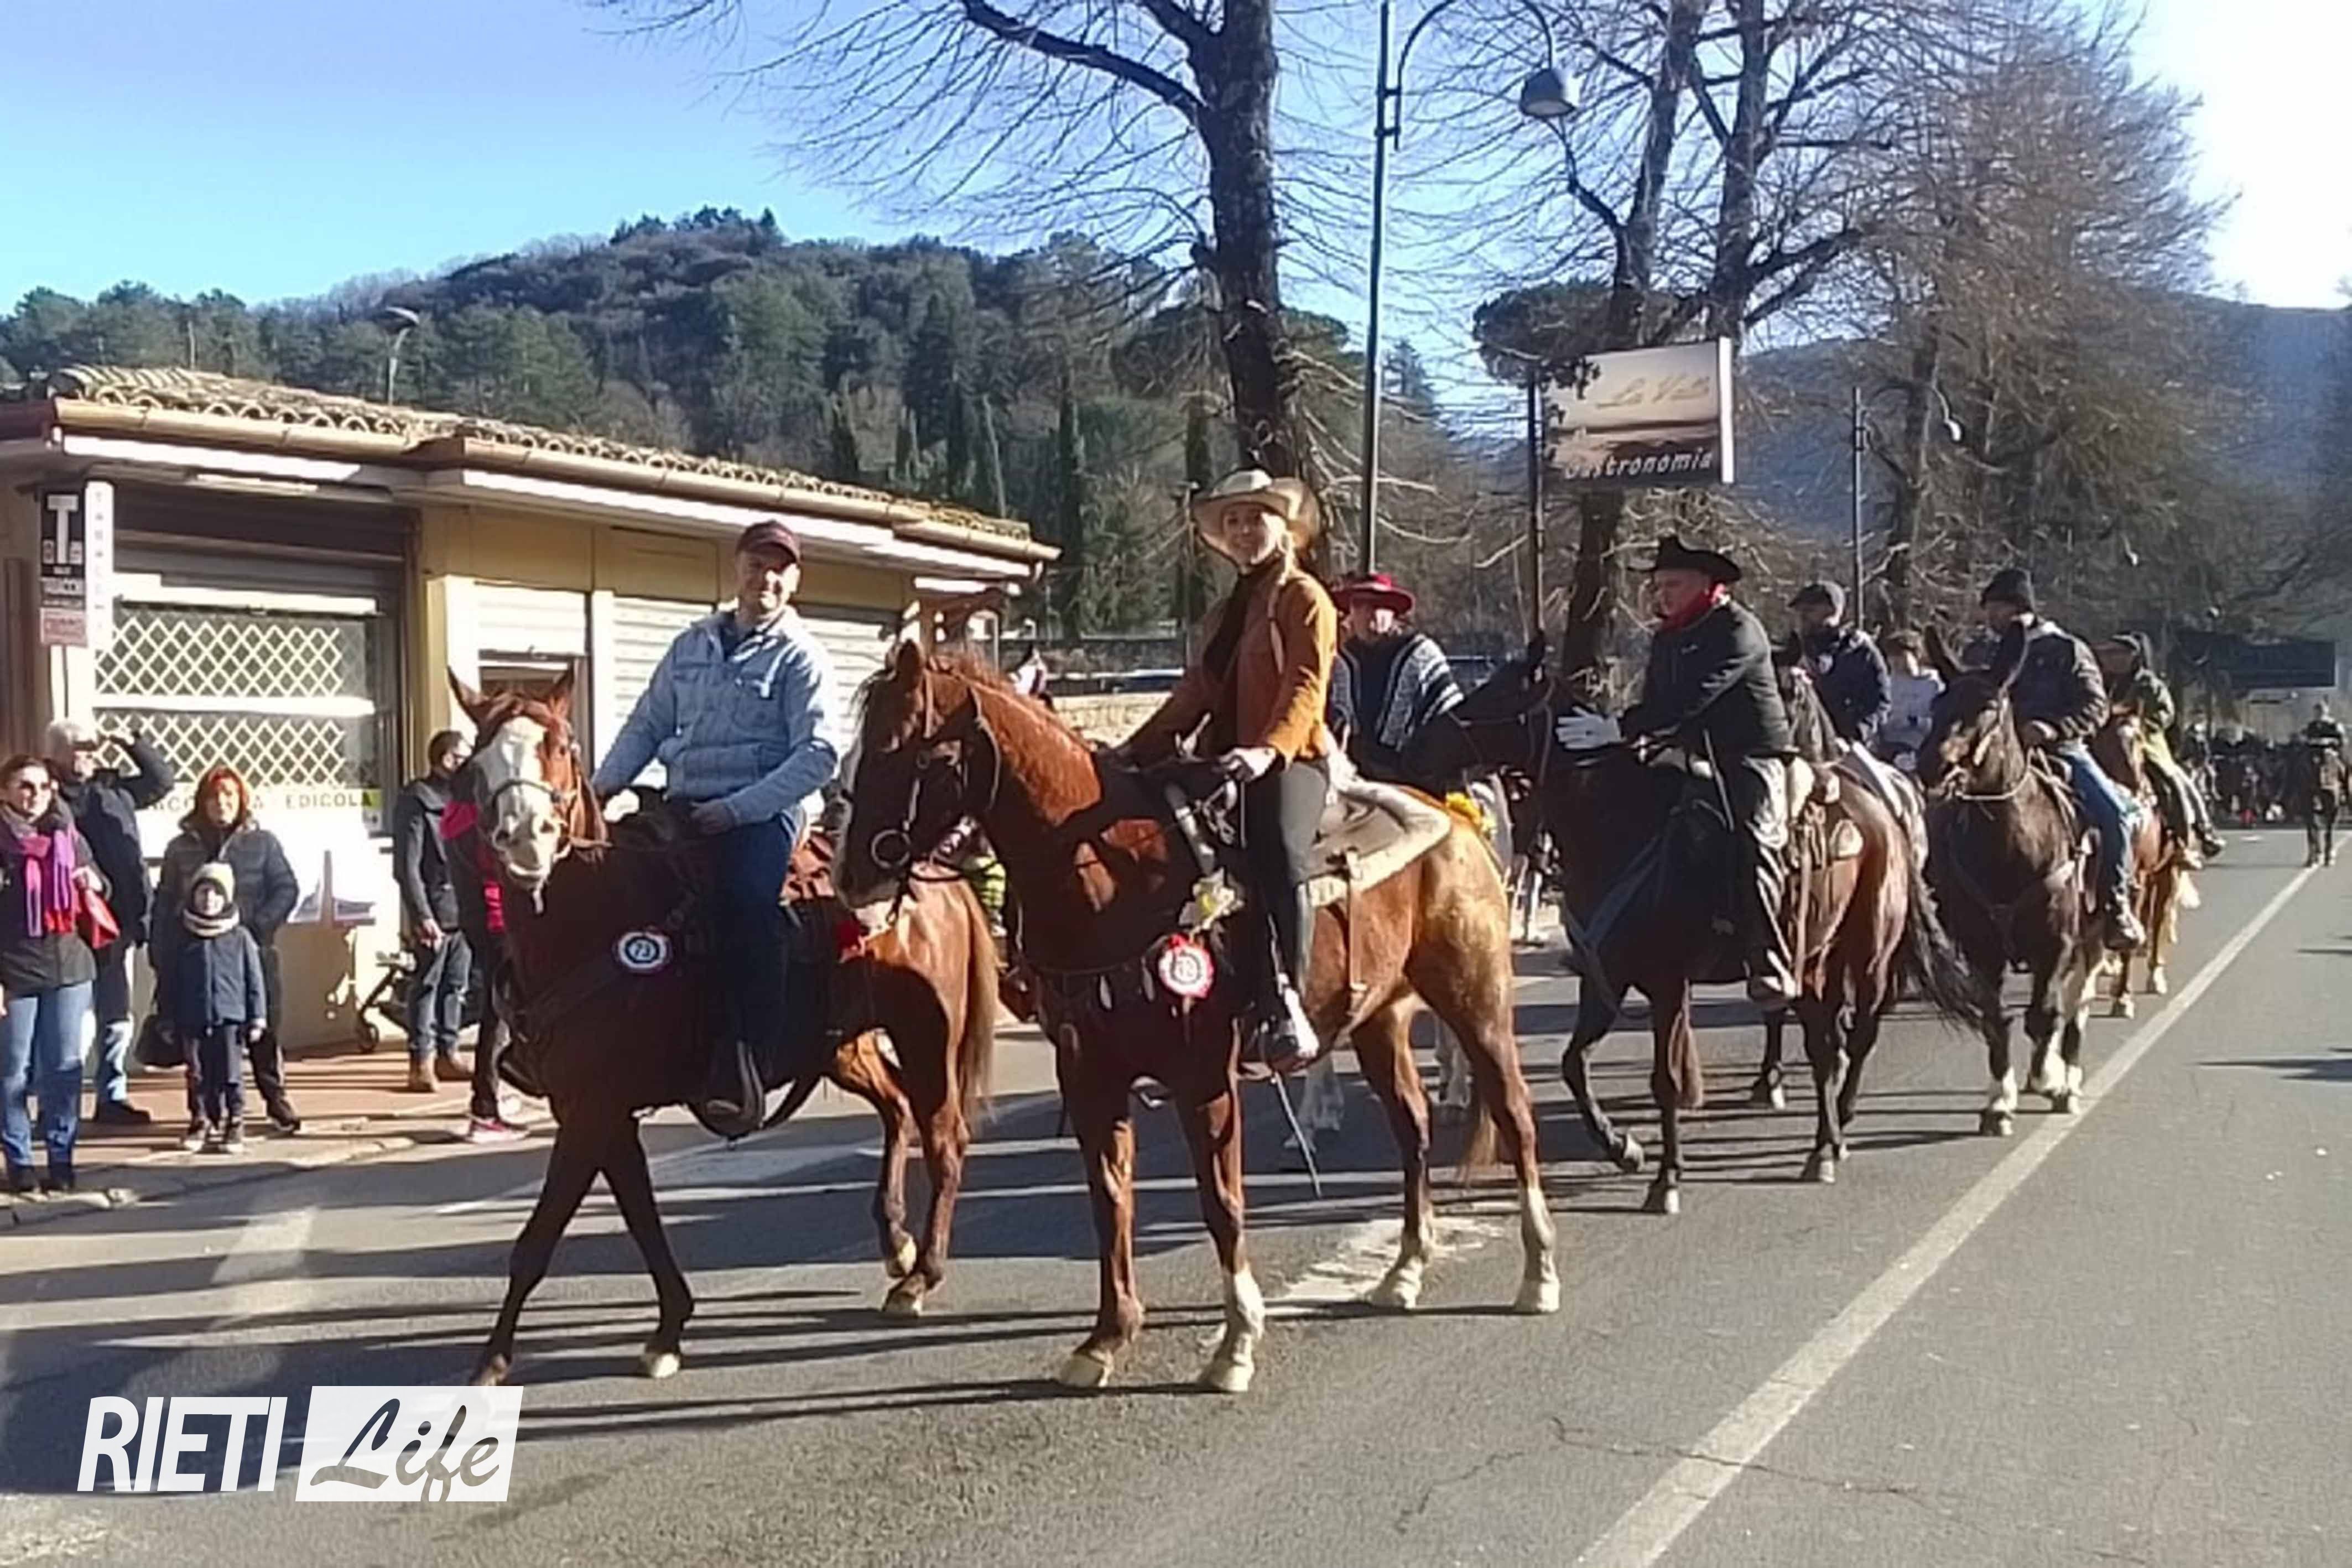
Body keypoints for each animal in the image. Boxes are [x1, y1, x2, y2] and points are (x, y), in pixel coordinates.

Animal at [450, 669, 997, 1385]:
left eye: (563, 745)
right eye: (478, 761)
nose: (526, 838)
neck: (593, 918)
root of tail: (933, 877)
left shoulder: (592, 1112)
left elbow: (538, 1238)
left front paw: (492, 1359)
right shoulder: (599, 1112)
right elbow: (641, 1216)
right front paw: (668, 1329)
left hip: (927, 1036)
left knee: (944, 1137)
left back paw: (920, 1275)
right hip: (843, 1048)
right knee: (898, 1108)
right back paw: (896, 1243)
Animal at [836, 645, 1557, 1396]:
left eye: (901, 749)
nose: (850, 874)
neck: (1112, 878)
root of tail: (1454, 819)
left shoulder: (1202, 1077)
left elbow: (1220, 1200)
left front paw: (1235, 1341)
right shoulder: (1091, 1078)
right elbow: (1111, 1200)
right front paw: (1106, 1337)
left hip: (1476, 1004)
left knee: (1515, 1118)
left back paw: (1537, 1273)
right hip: (1379, 1020)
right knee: (1411, 1130)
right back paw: (1406, 1270)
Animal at [1407, 639, 1995, 1198]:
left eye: (1499, 695)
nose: (1423, 743)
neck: (1622, 824)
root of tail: (1882, 810)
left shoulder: (1668, 982)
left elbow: (1665, 1078)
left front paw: (1666, 1177)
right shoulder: (1604, 979)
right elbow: (1575, 1064)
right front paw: (1624, 1149)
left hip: (1868, 952)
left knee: (1859, 1032)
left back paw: (1837, 1129)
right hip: (1811, 961)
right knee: (1824, 1045)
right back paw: (1822, 1146)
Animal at [1918, 627, 2103, 1134]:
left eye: (1988, 705)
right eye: (1938, 703)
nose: (1932, 765)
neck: (2010, 850)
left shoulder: (2057, 943)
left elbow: (2044, 1014)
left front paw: (2050, 1080)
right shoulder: (1981, 948)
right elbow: (1995, 1019)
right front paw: (1999, 1101)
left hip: (2095, 938)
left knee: (2076, 1005)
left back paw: (2068, 1075)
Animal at [2090, 712, 2196, 1013]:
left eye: (2139, 739)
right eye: (2107, 738)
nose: (2136, 784)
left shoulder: (2136, 878)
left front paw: (2123, 997)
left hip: (2166, 873)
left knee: (2157, 919)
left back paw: (2154, 973)